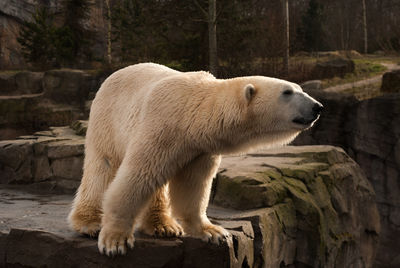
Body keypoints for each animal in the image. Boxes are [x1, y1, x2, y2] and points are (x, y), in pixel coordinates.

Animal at [67, 62, 324, 255]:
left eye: (299, 88)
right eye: (287, 92)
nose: (318, 107)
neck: (194, 111)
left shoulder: (199, 148)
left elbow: (193, 186)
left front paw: (213, 232)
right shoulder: (161, 127)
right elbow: (137, 176)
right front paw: (115, 241)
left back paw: (164, 226)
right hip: (107, 121)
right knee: (102, 167)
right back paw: (89, 223)